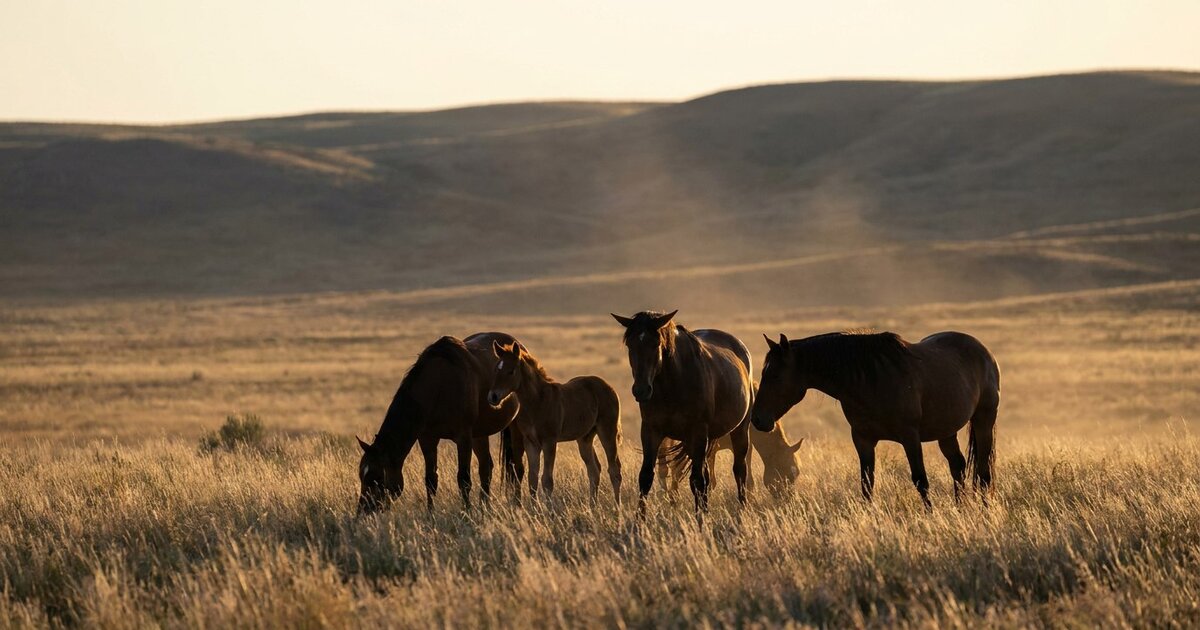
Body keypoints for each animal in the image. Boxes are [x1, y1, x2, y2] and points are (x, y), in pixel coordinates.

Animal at [356, 333, 522, 514]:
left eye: (377, 478)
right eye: (361, 475)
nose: (363, 511)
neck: (440, 386)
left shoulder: (463, 438)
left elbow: (463, 479)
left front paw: (466, 513)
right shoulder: (428, 439)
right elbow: (430, 480)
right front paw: (430, 515)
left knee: (513, 467)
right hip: (479, 435)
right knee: (486, 467)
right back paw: (484, 507)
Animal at [486, 340, 623, 506]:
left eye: (511, 371)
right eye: (495, 369)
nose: (493, 397)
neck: (537, 402)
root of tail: (609, 387)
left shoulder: (549, 442)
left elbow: (547, 480)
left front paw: (549, 510)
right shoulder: (531, 443)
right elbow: (532, 479)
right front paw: (534, 509)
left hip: (607, 431)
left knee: (614, 470)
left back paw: (617, 507)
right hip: (585, 438)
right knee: (594, 470)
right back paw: (592, 506)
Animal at [612, 310, 754, 515]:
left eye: (656, 344)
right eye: (630, 344)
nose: (641, 390)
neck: (673, 384)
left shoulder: (698, 432)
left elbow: (697, 481)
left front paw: (700, 519)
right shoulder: (651, 431)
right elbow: (645, 477)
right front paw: (639, 520)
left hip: (739, 430)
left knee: (739, 470)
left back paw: (741, 509)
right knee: (707, 474)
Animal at [750, 331, 1000, 508]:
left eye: (775, 375)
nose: (757, 419)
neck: (870, 380)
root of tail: (984, 352)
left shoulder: (910, 437)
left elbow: (920, 479)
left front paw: (930, 514)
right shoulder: (863, 439)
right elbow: (867, 483)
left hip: (983, 421)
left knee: (984, 471)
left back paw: (984, 510)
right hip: (946, 431)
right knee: (958, 466)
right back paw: (961, 507)